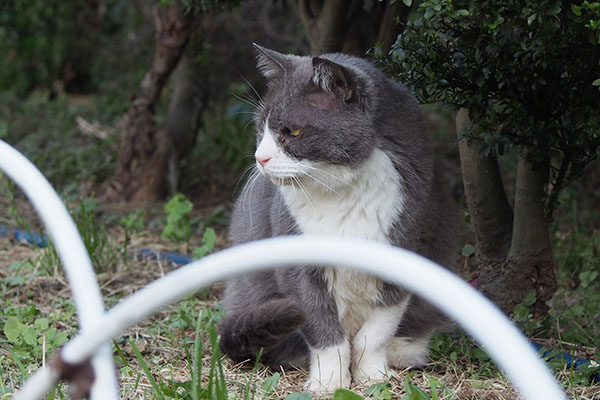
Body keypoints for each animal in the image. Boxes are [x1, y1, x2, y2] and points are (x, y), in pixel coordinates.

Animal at [218, 44, 458, 394]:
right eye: (261, 127)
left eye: (293, 131)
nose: (260, 158)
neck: (340, 191)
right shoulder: (297, 264)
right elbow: (324, 330)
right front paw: (328, 382)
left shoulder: (411, 242)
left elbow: (378, 329)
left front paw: (374, 377)